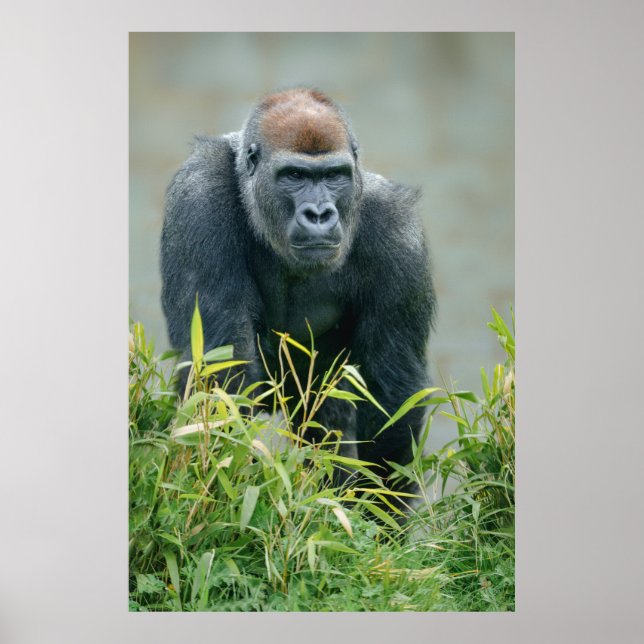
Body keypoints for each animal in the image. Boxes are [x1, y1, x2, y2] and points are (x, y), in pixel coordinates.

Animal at [161, 88, 435, 497]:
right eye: (294, 175)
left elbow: (392, 392)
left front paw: (377, 507)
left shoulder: (399, 233)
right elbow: (221, 370)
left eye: (333, 176)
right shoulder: (198, 200)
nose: (319, 214)